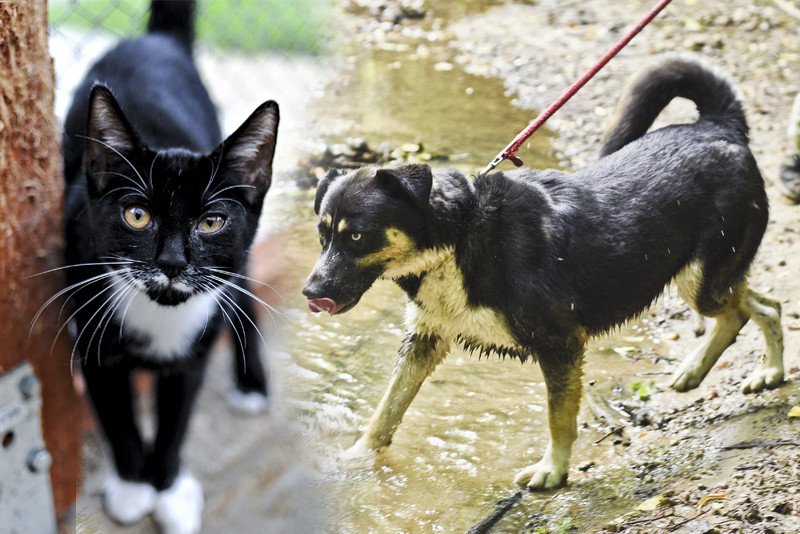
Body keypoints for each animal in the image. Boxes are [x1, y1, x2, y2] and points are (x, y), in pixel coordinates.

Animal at [59, 2, 278, 532]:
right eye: (137, 215)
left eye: (211, 221)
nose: (173, 261)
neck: (159, 312)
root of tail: (158, 40)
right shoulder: (90, 329)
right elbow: (116, 414)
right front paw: (133, 486)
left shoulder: (196, 347)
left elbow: (177, 414)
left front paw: (169, 486)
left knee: (243, 293)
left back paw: (251, 383)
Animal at [304, 57, 784, 490]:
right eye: (322, 235)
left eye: (357, 236)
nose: (310, 292)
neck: (460, 237)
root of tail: (719, 127)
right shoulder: (425, 339)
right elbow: (385, 412)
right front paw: (353, 459)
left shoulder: (560, 343)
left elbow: (559, 418)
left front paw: (552, 471)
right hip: (705, 278)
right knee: (757, 306)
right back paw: (711, 371)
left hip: (700, 278)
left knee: (756, 308)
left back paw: (767, 371)